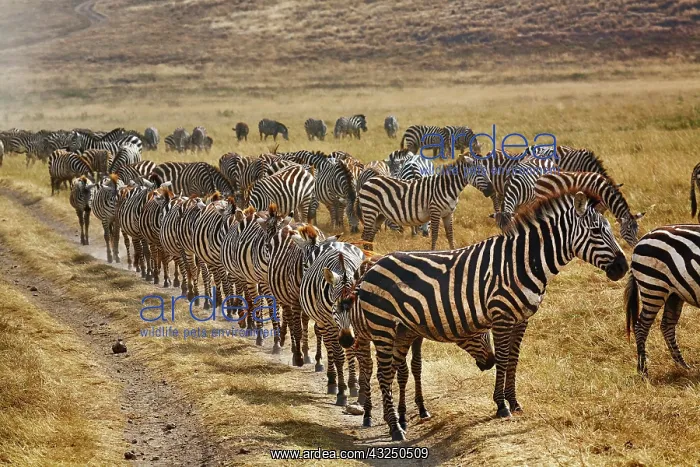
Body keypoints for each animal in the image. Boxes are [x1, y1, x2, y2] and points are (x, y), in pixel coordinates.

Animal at [300, 244, 365, 406]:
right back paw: (331, 381)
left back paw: (352, 383)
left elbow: (356, 354)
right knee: (329, 346)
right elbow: (338, 357)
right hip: (323, 322)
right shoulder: (330, 323)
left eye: (354, 306)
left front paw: (358, 389)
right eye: (335, 305)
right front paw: (341, 392)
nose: (347, 340)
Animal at [357, 155, 495, 250]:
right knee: (365, 236)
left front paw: (453, 251)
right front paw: (433, 252)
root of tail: (369, 181)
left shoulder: (448, 214)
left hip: (379, 215)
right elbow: (435, 235)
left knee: (370, 237)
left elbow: (450, 235)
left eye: (486, 171)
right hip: (370, 210)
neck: (446, 187)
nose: (492, 190)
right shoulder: (435, 211)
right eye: (479, 172)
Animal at [357, 188, 629, 440]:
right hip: (382, 326)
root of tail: (373, 264)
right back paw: (395, 428)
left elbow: (513, 360)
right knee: (383, 373)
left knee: (392, 370)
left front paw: (514, 402)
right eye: (597, 231)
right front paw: (501, 405)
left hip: (401, 330)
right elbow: (503, 358)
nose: (623, 268)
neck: (522, 263)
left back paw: (398, 421)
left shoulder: (522, 319)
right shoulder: (502, 316)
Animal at [624, 225, 700, 377]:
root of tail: (642, 239)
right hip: (653, 288)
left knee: (667, 325)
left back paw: (683, 366)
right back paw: (643, 371)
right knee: (641, 327)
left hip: (675, 294)